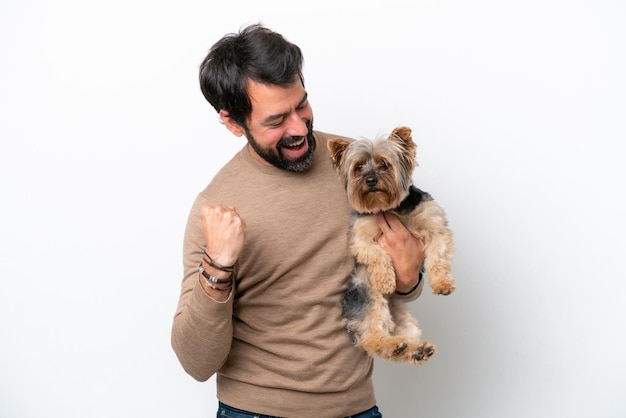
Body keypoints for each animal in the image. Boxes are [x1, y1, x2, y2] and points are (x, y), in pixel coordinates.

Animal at [326, 125, 454, 364]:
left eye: (384, 163)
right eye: (358, 167)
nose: (370, 180)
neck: (389, 208)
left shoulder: (435, 225)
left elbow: (438, 256)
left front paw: (442, 283)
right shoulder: (360, 235)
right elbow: (375, 253)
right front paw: (385, 281)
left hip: (403, 317)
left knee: (403, 332)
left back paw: (415, 350)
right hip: (368, 298)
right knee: (372, 337)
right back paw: (391, 345)